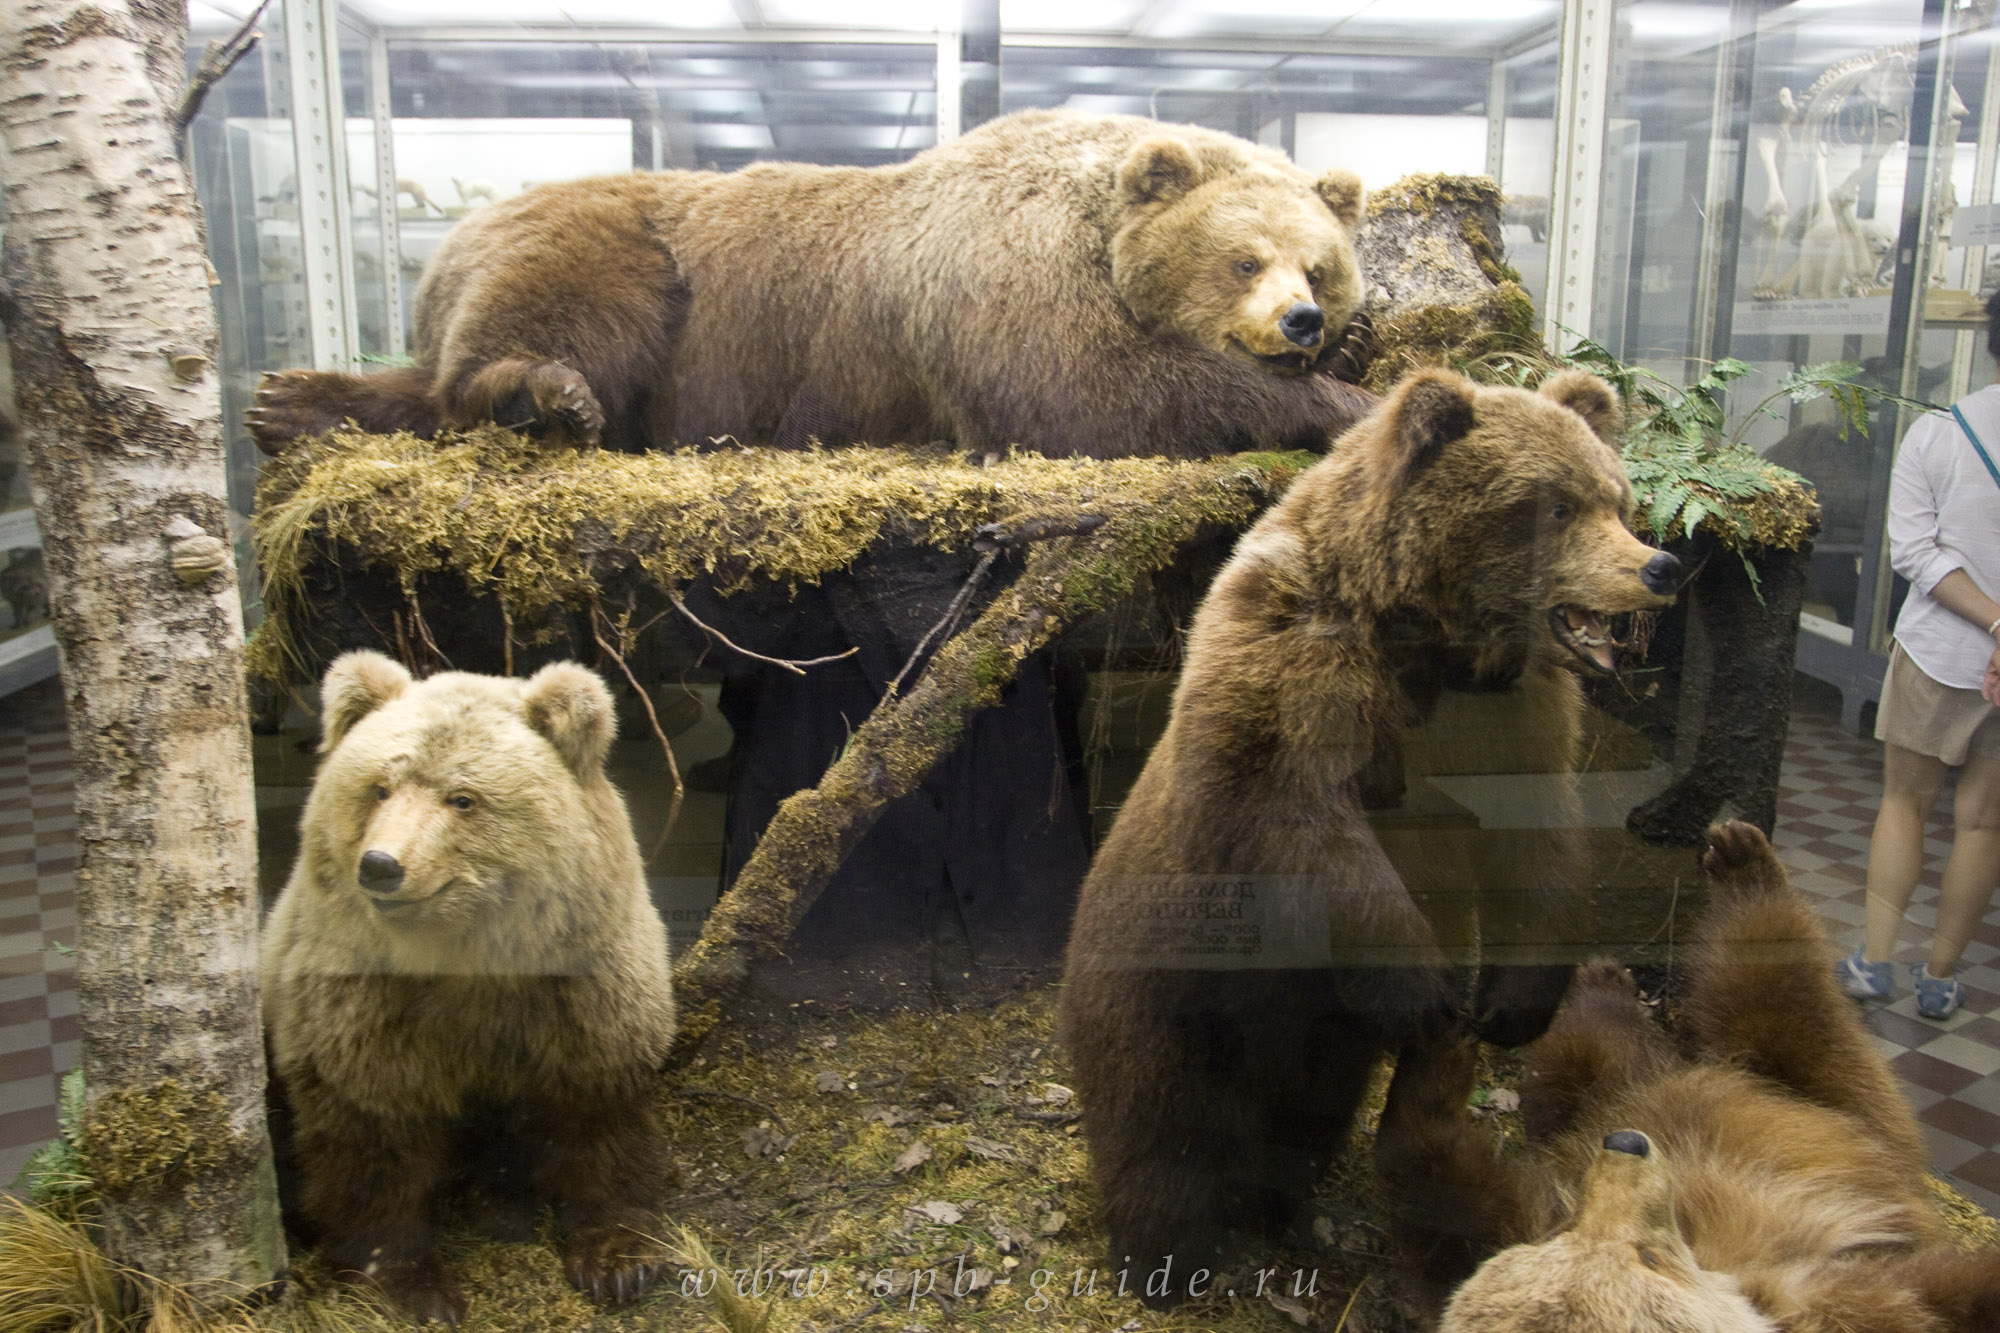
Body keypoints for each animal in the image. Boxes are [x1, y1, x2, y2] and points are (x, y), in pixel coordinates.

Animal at [246, 106, 1376, 456]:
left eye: (1321, 266)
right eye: (1242, 256)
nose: (1301, 321)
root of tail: (445, 248)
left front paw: (1357, 358)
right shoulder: (999, 271)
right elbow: (1080, 393)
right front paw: (1340, 402)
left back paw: (286, 398)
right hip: (619, 251)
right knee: (551, 321)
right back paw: (542, 392)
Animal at [260, 648, 672, 1312]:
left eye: (463, 798)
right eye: (380, 787)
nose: (381, 866)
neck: (469, 959)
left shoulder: (581, 988)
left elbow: (597, 1115)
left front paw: (618, 1258)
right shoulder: (361, 1003)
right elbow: (372, 1136)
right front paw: (409, 1282)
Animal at [1056, 364, 1680, 1288]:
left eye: (1619, 496)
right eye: (1558, 505)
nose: (1659, 565)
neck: (1428, 641)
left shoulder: (1517, 715)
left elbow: (1537, 841)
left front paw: (1510, 1003)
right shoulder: (1296, 667)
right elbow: (1311, 830)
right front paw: (1433, 993)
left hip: (1321, 1038)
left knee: (1303, 1118)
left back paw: (1281, 1209)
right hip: (1166, 976)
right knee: (1162, 1122)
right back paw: (1169, 1256)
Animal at [1376, 820, 2000, 1328]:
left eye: (1649, 1257)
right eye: (1567, 1230)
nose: (1627, 1144)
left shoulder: (1858, 1285)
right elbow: (1442, 1193)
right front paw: (1437, 1049)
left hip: (1822, 1115)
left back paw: (1732, 863)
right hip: (1819, 1101)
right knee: (1762, 1004)